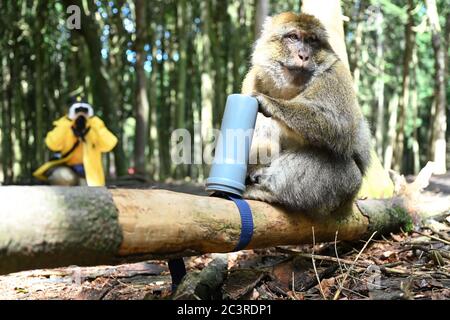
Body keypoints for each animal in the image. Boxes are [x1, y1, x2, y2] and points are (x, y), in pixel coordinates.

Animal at [243, 12, 372, 218]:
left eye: (312, 40)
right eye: (293, 37)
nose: (304, 55)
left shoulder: (335, 76)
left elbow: (341, 127)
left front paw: (269, 103)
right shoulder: (252, 78)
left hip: (346, 190)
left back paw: (266, 190)